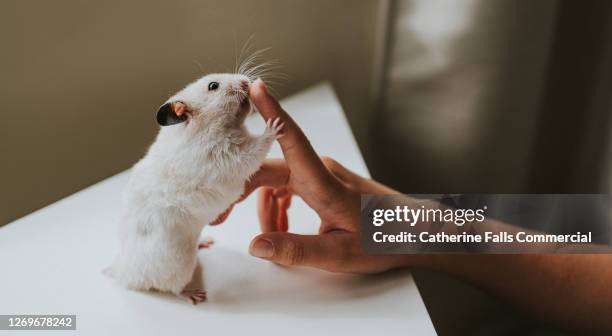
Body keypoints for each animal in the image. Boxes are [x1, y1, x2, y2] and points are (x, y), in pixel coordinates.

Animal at [106, 73, 284, 304]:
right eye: (213, 86)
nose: (246, 81)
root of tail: (125, 275)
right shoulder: (233, 156)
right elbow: (258, 147)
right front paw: (274, 125)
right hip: (180, 267)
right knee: (173, 290)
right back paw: (195, 295)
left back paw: (206, 242)